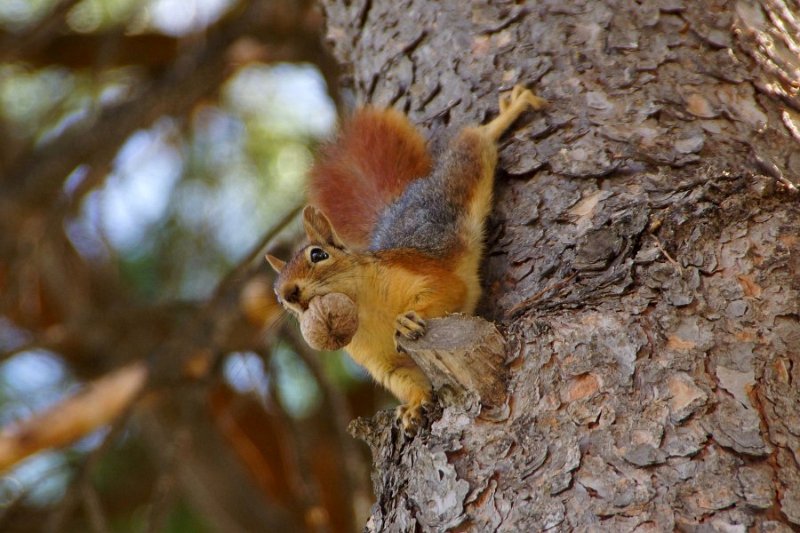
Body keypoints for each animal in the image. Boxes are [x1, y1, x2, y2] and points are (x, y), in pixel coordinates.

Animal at [267, 86, 546, 434]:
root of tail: (400, 201)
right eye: (277, 296)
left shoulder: (415, 271)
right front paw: (413, 407)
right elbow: (402, 378)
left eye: (318, 254)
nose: (289, 293)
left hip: (455, 181)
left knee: (473, 143)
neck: (365, 311)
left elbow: (447, 289)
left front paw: (410, 319)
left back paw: (510, 111)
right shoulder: (378, 360)